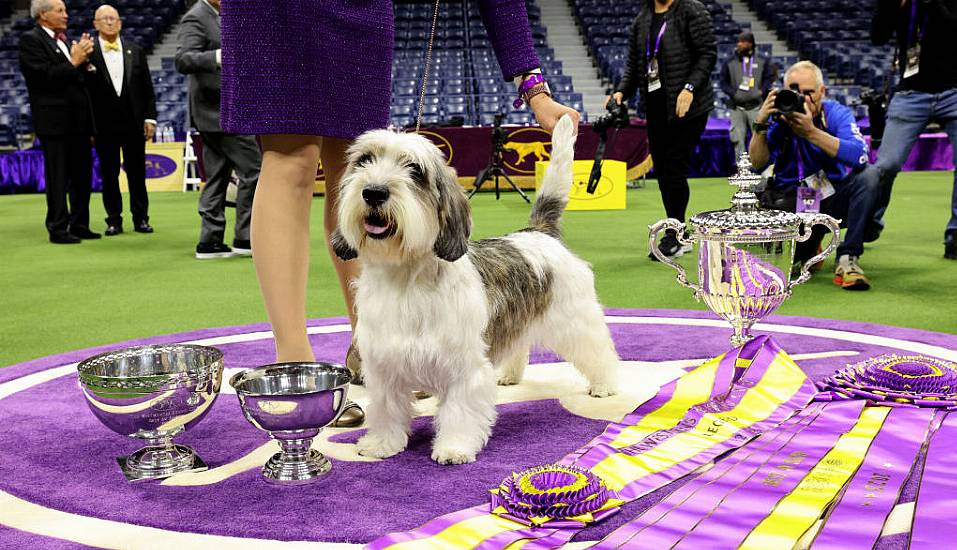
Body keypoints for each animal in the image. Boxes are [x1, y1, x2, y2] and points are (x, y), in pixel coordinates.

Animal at [332, 115, 620, 466]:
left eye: (415, 170)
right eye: (364, 161)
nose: (374, 192)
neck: (407, 279)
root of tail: (538, 231)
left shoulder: (463, 367)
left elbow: (459, 411)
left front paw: (454, 447)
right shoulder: (384, 365)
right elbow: (387, 409)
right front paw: (382, 443)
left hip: (576, 319)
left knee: (598, 350)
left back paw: (604, 384)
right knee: (519, 343)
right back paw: (510, 374)